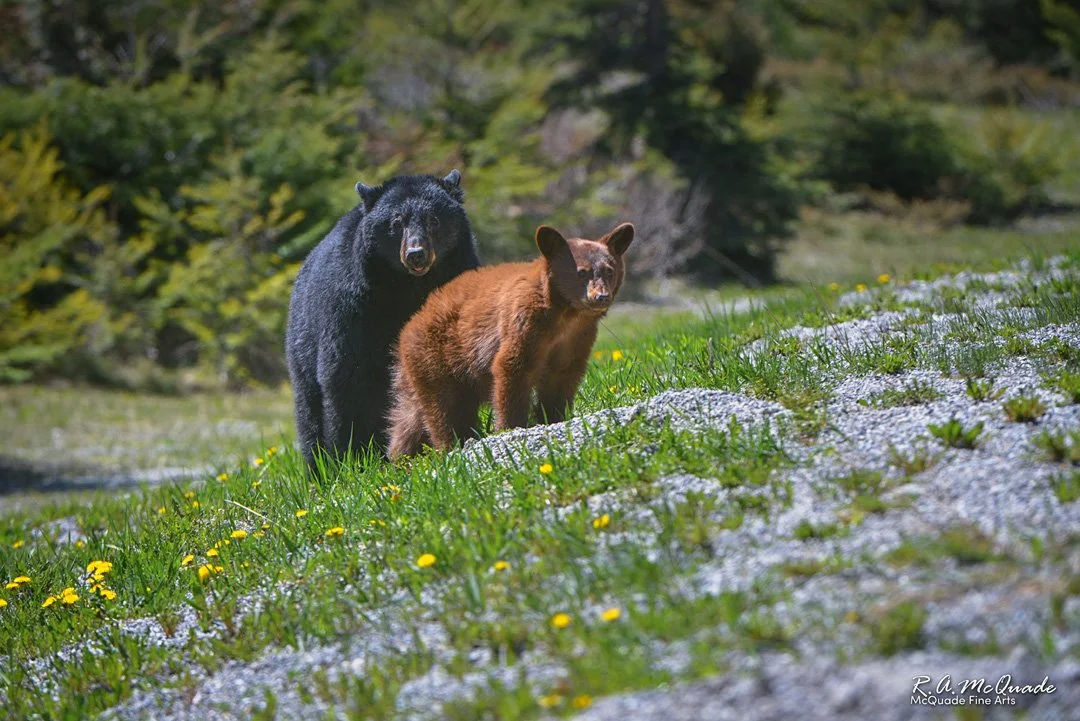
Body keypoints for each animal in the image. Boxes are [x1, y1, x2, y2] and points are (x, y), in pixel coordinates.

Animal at [286, 170, 480, 468]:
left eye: (434, 219)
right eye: (396, 223)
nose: (416, 254)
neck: (410, 288)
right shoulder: (353, 307)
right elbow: (346, 375)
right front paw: (353, 457)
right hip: (303, 347)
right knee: (310, 411)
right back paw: (320, 466)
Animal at [386, 222, 634, 458]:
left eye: (609, 270)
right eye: (582, 272)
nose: (601, 296)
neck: (565, 316)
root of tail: (409, 326)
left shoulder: (577, 338)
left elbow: (562, 378)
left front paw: (553, 417)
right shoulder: (524, 323)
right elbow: (512, 368)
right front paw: (510, 428)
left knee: (411, 416)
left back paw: (403, 456)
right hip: (434, 358)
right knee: (442, 408)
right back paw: (446, 447)